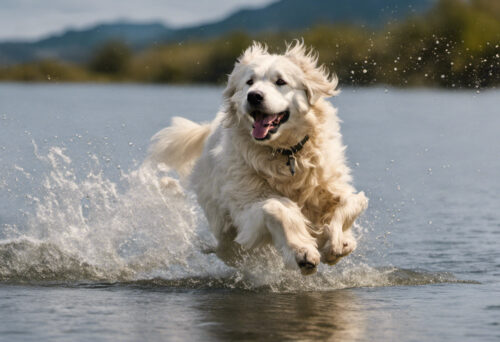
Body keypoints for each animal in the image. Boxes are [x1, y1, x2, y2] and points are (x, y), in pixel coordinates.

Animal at [148, 40, 368, 276]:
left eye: (280, 81)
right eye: (249, 82)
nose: (254, 96)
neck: (286, 153)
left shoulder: (330, 184)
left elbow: (352, 201)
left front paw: (338, 241)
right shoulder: (247, 207)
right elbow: (276, 207)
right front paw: (302, 251)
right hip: (225, 226)